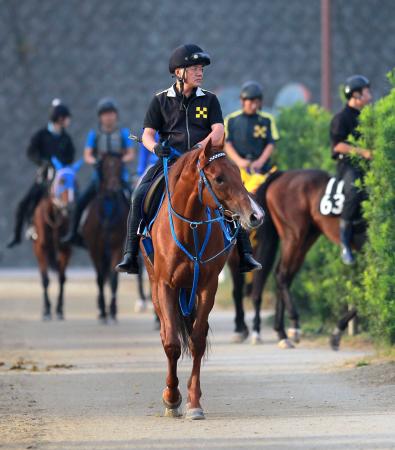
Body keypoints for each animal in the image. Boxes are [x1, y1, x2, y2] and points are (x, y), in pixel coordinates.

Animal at [32, 158, 82, 320]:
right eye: (61, 181)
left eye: (76, 182)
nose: (70, 206)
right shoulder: (41, 248)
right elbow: (45, 279)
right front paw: (47, 310)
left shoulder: (65, 248)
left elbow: (61, 278)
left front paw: (59, 309)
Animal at [82, 153, 128, 322]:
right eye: (105, 166)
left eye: (120, 166)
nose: (114, 187)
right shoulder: (95, 249)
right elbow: (100, 278)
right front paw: (102, 310)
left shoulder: (117, 247)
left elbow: (113, 279)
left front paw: (113, 310)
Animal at [141, 142, 264, 420]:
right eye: (219, 178)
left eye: (239, 174)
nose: (255, 215)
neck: (190, 229)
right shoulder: (165, 286)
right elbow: (172, 343)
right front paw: (171, 398)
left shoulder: (208, 286)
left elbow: (197, 341)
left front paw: (194, 402)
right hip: (155, 287)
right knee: (166, 332)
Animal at [230, 169, 366, 348]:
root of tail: (280, 176)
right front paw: (337, 332)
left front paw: (337, 331)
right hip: (295, 236)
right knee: (279, 275)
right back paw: (291, 326)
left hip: (305, 238)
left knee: (282, 276)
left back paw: (282, 332)